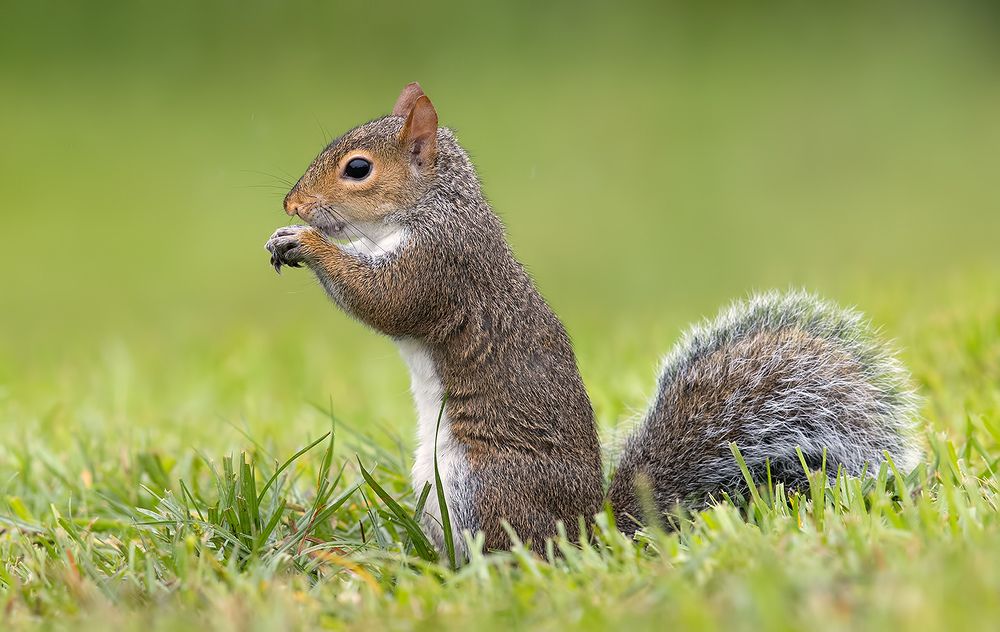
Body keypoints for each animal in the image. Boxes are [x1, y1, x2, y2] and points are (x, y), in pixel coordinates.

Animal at [265, 83, 920, 556]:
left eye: (357, 169)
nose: (291, 203)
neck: (435, 205)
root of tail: (588, 533)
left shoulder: (441, 264)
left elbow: (386, 300)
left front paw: (307, 243)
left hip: (482, 486)